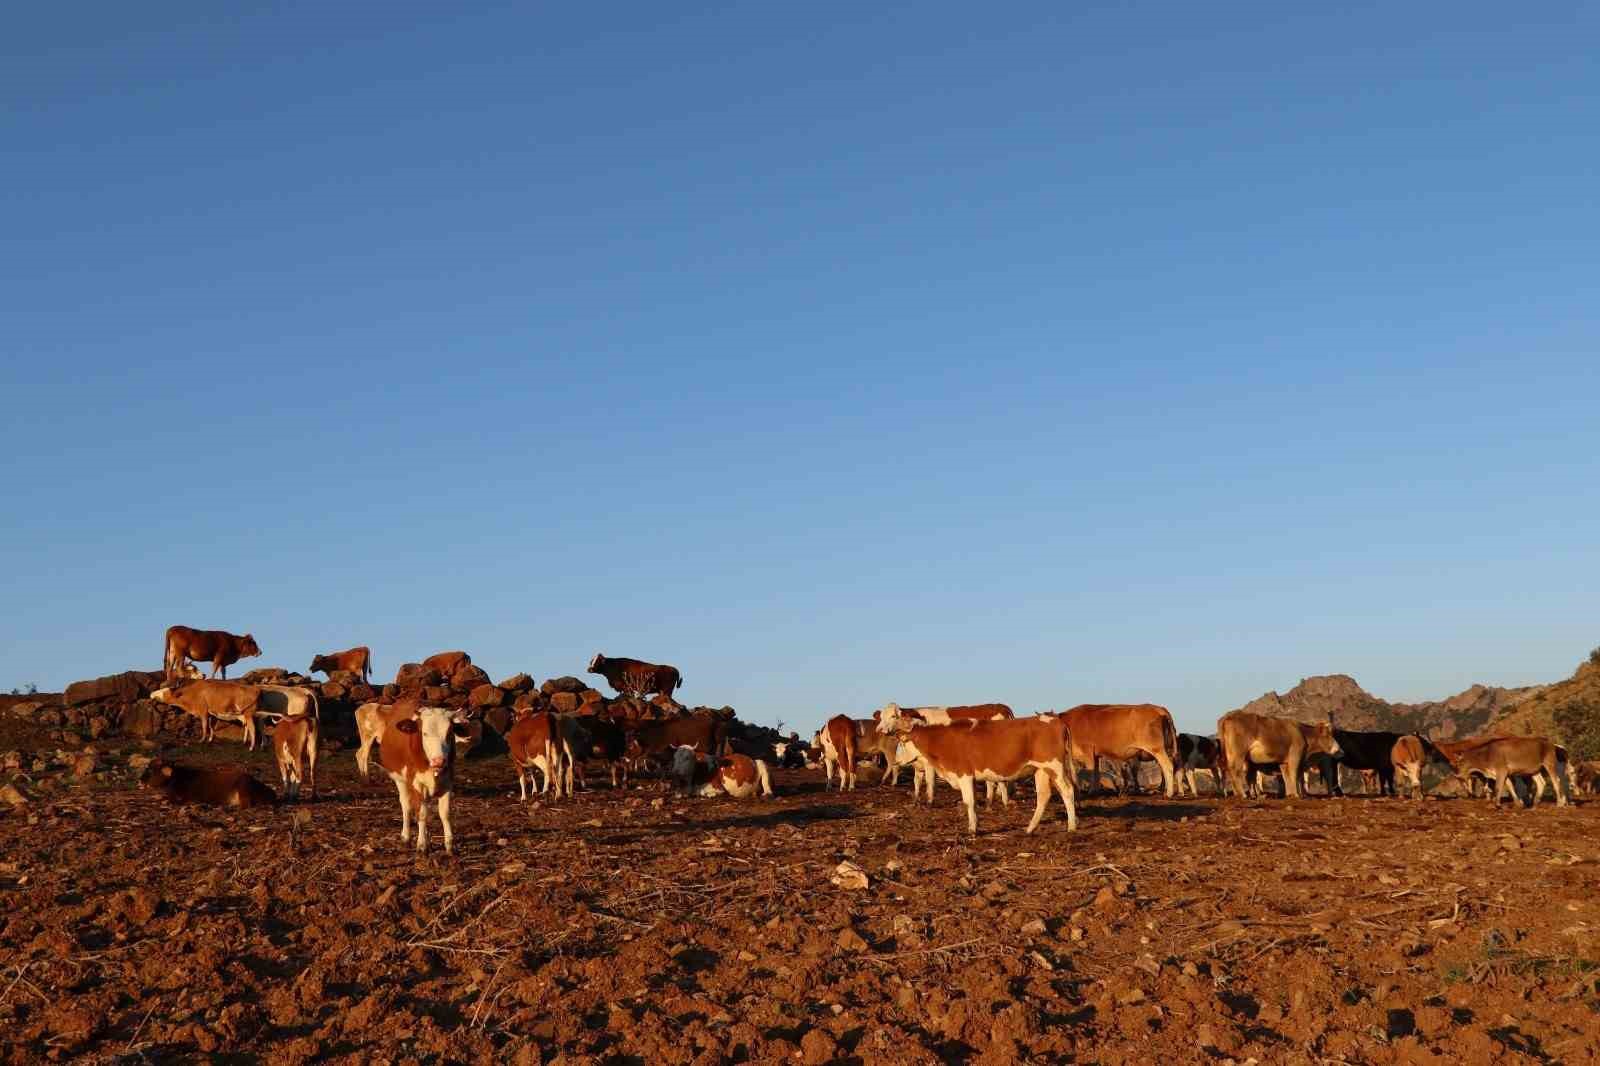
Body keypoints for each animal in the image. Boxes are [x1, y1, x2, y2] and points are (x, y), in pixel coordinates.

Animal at [1216, 704, 1344, 797]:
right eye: (1327, 735)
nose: (1339, 750)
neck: (1303, 734)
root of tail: (1228, 717)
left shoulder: (1284, 762)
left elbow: (1286, 777)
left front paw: (1291, 794)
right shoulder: (1295, 757)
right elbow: (1294, 775)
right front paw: (1297, 794)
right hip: (1239, 753)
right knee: (1235, 770)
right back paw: (1243, 794)